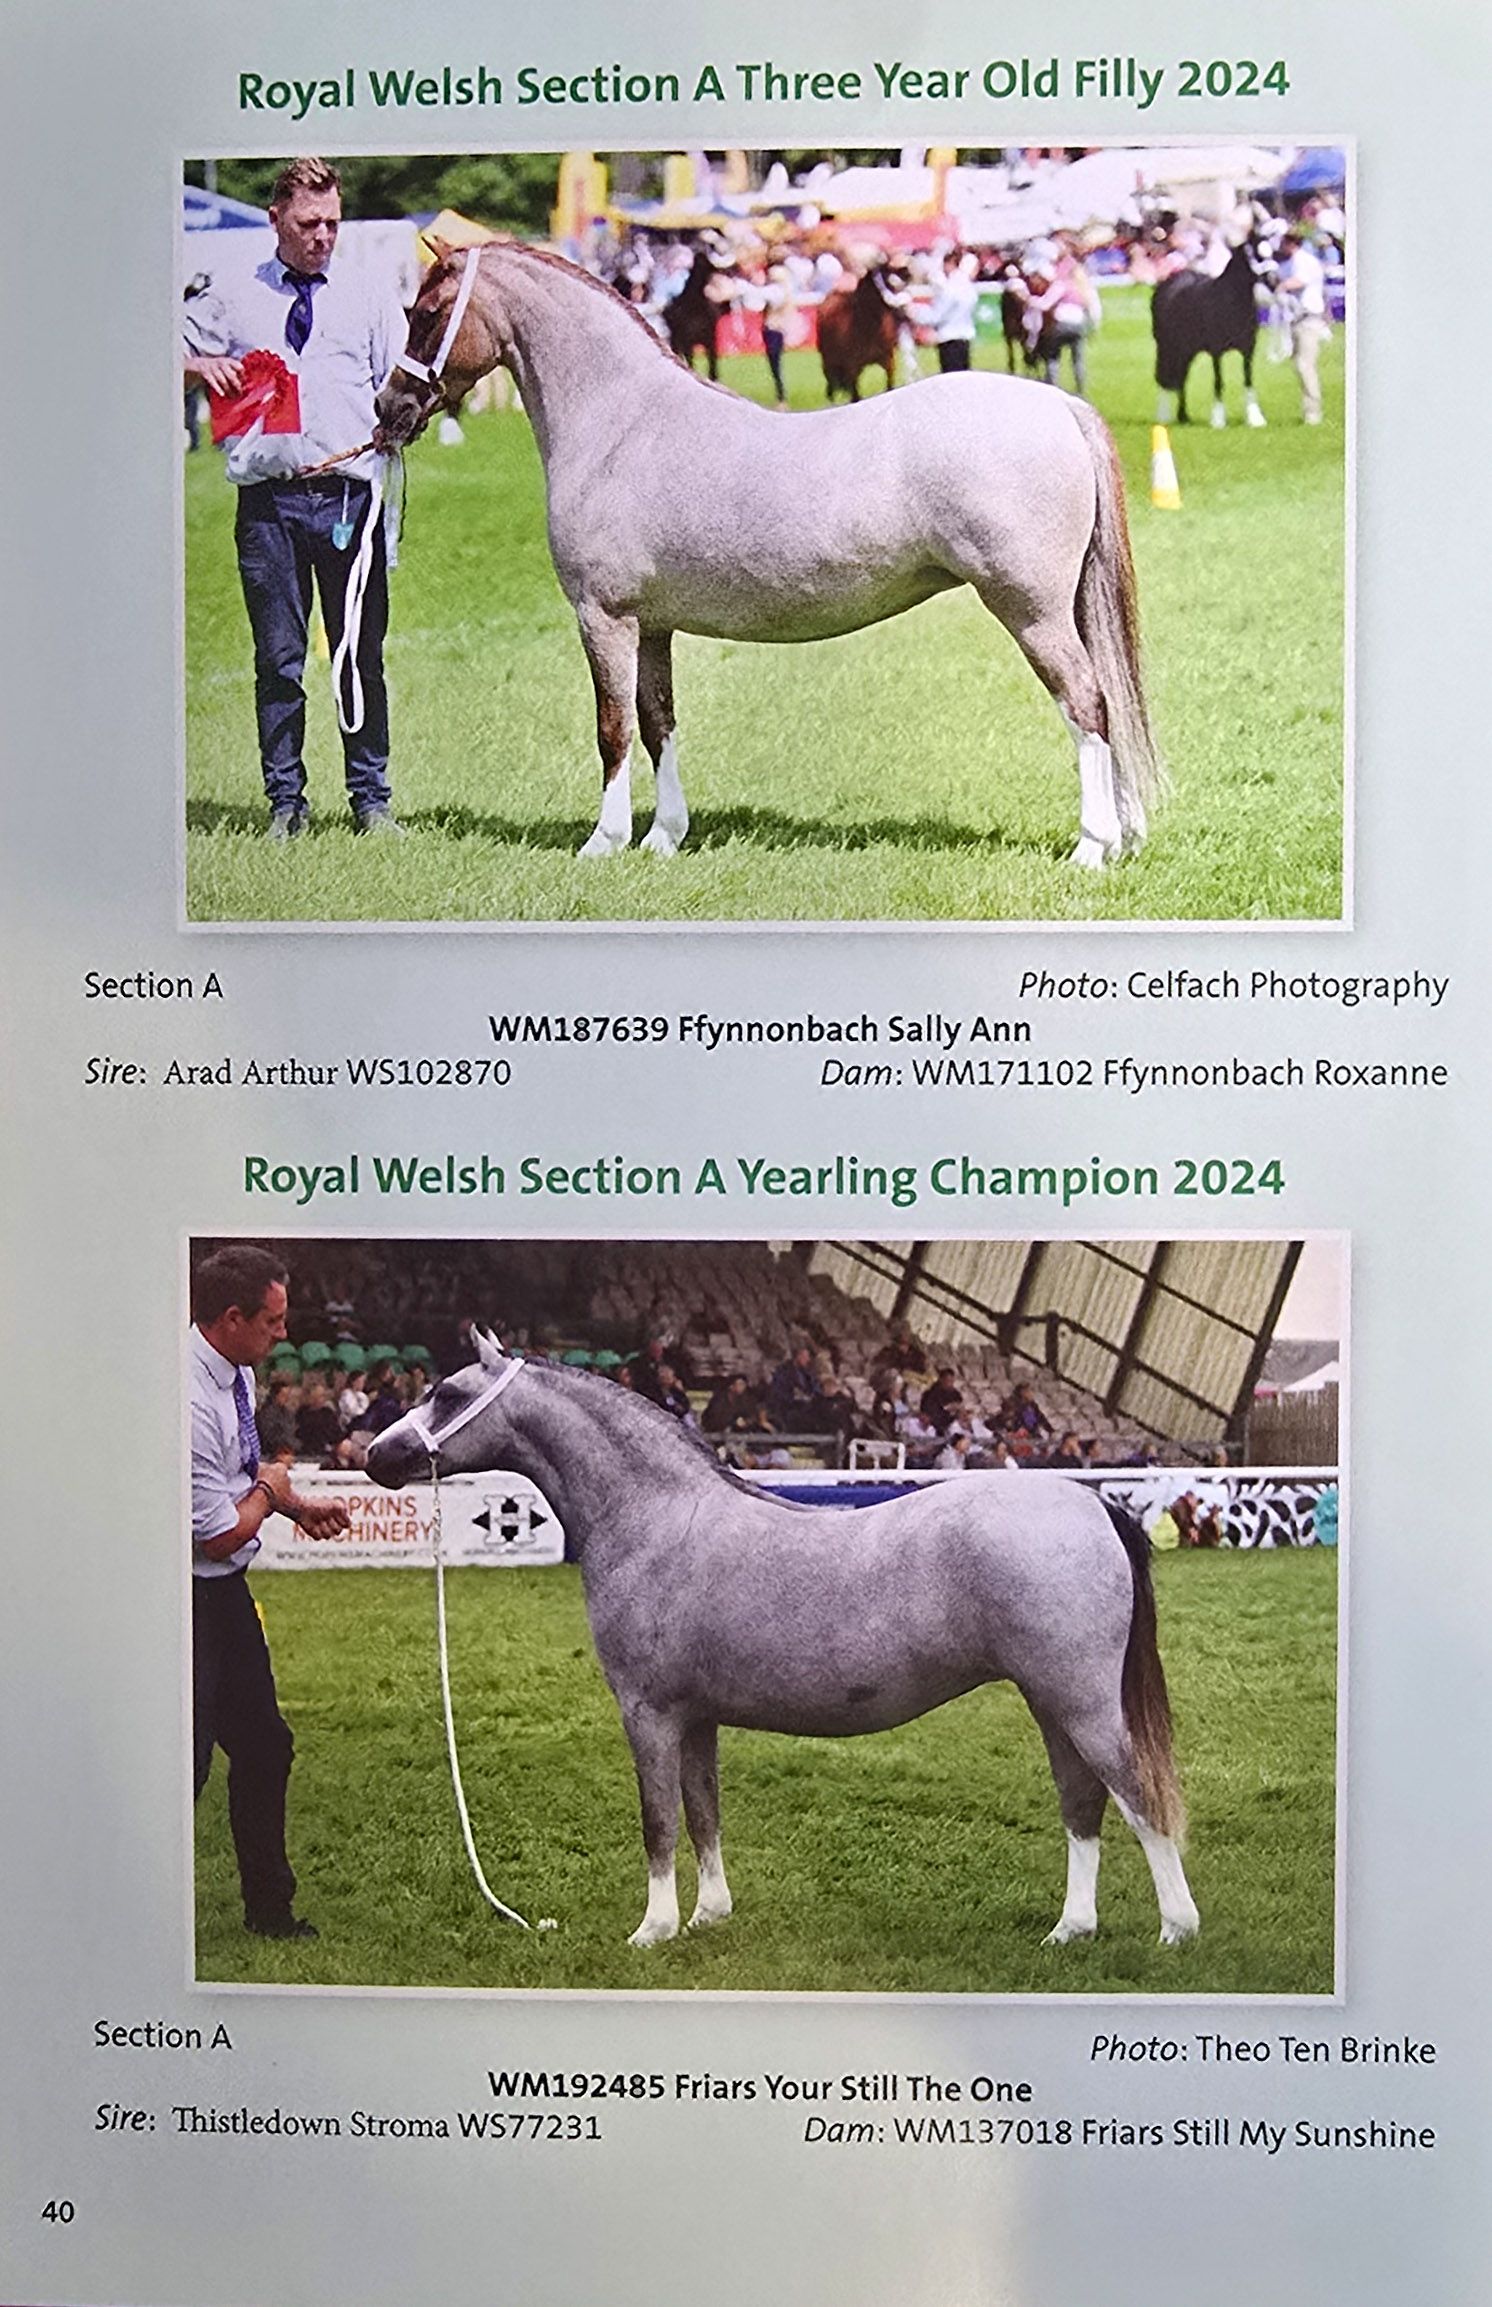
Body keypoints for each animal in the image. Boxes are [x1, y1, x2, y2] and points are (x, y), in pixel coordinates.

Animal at [366, 1336, 1201, 1953]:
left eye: (447, 1393)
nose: (377, 1455)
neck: (656, 1515)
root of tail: (1092, 1501)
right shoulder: (697, 1717)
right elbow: (703, 1811)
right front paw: (708, 1916)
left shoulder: (648, 1713)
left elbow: (658, 1819)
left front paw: (653, 1929)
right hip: (1051, 1705)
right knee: (1082, 1801)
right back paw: (1071, 1928)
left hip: (1082, 1703)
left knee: (1137, 1796)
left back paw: (1175, 1929)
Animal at [817, 266, 905, 401]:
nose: (900, 310)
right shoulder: (851, 367)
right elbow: (855, 396)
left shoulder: (888, 360)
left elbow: (890, 386)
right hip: (829, 362)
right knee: (831, 385)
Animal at [1152, 223, 1278, 427]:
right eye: (1257, 254)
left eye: (1272, 253)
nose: (1274, 281)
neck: (1230, 301)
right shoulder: (1217, 351)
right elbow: (1219, 381)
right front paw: (1218, 420)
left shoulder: (1249, 350)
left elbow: (1248, 380)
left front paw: (1255, 418)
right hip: (1166, 346)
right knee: (1164, 376)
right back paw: (1164, 417)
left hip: (1187, 349)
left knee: (1182, 378)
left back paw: (1183, 417)